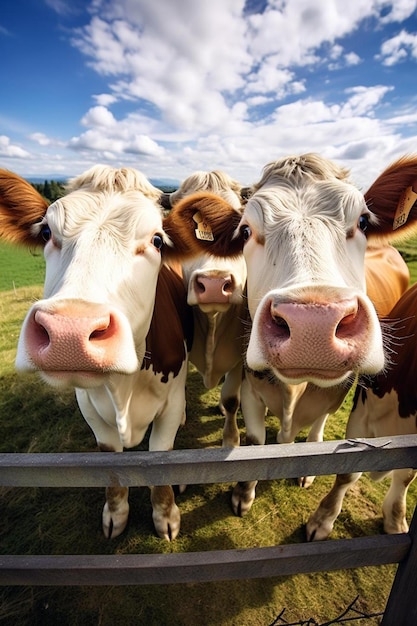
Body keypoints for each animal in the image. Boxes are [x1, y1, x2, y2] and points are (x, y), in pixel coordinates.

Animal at [0, 163, 208, 540]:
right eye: (46, 232)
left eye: (157, 240)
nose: (69, 333)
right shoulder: (90, 409)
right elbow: (110, 464)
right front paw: (116, 515)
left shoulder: (169, 404)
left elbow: (162, 464)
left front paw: (165, 516)